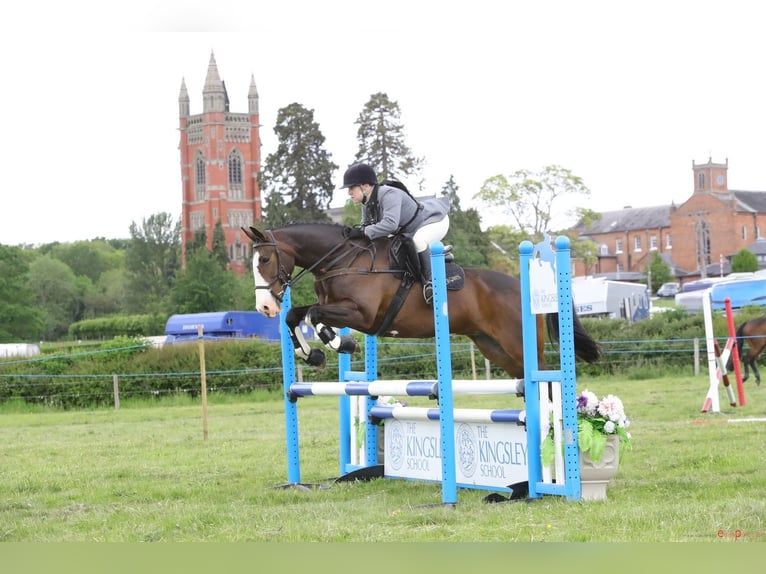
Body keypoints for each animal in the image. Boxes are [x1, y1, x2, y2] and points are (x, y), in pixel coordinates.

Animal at [243, 223, 604, 380]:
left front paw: (339, 343)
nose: (264, 308)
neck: (342, 259)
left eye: (265, 260)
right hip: (493, 347)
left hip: (517, 343)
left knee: (544, 378)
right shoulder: (340, 309)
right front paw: (312, 354)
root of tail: (521, 285)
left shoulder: (361, 315)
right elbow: (295, 315)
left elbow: (316, 316)